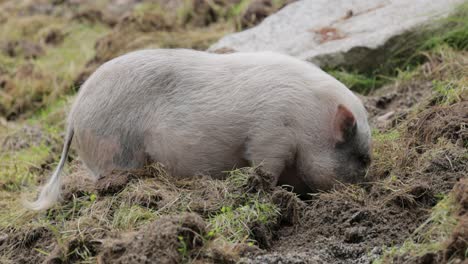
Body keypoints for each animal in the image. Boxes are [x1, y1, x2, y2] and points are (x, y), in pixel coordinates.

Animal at [25, 49, 372, 210]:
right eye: (362, 158)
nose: (368, 190)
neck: (309, 121)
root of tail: (74, 115)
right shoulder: (271, 136)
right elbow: (266, 169)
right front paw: (270, 194)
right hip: (115, 153)